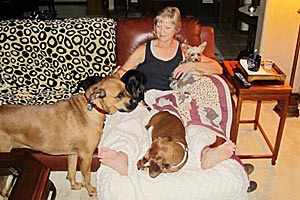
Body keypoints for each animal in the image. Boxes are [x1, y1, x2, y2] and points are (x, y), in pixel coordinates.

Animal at [0, 74, 138, 197]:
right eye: (119, 95)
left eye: (127, 88)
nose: (137, 101)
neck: (93, 106)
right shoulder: (86, 156)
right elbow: (86, 177)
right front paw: (91, 190)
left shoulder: (73, 154)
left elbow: (71, 172)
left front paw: (74, 185)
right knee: (3, 188)